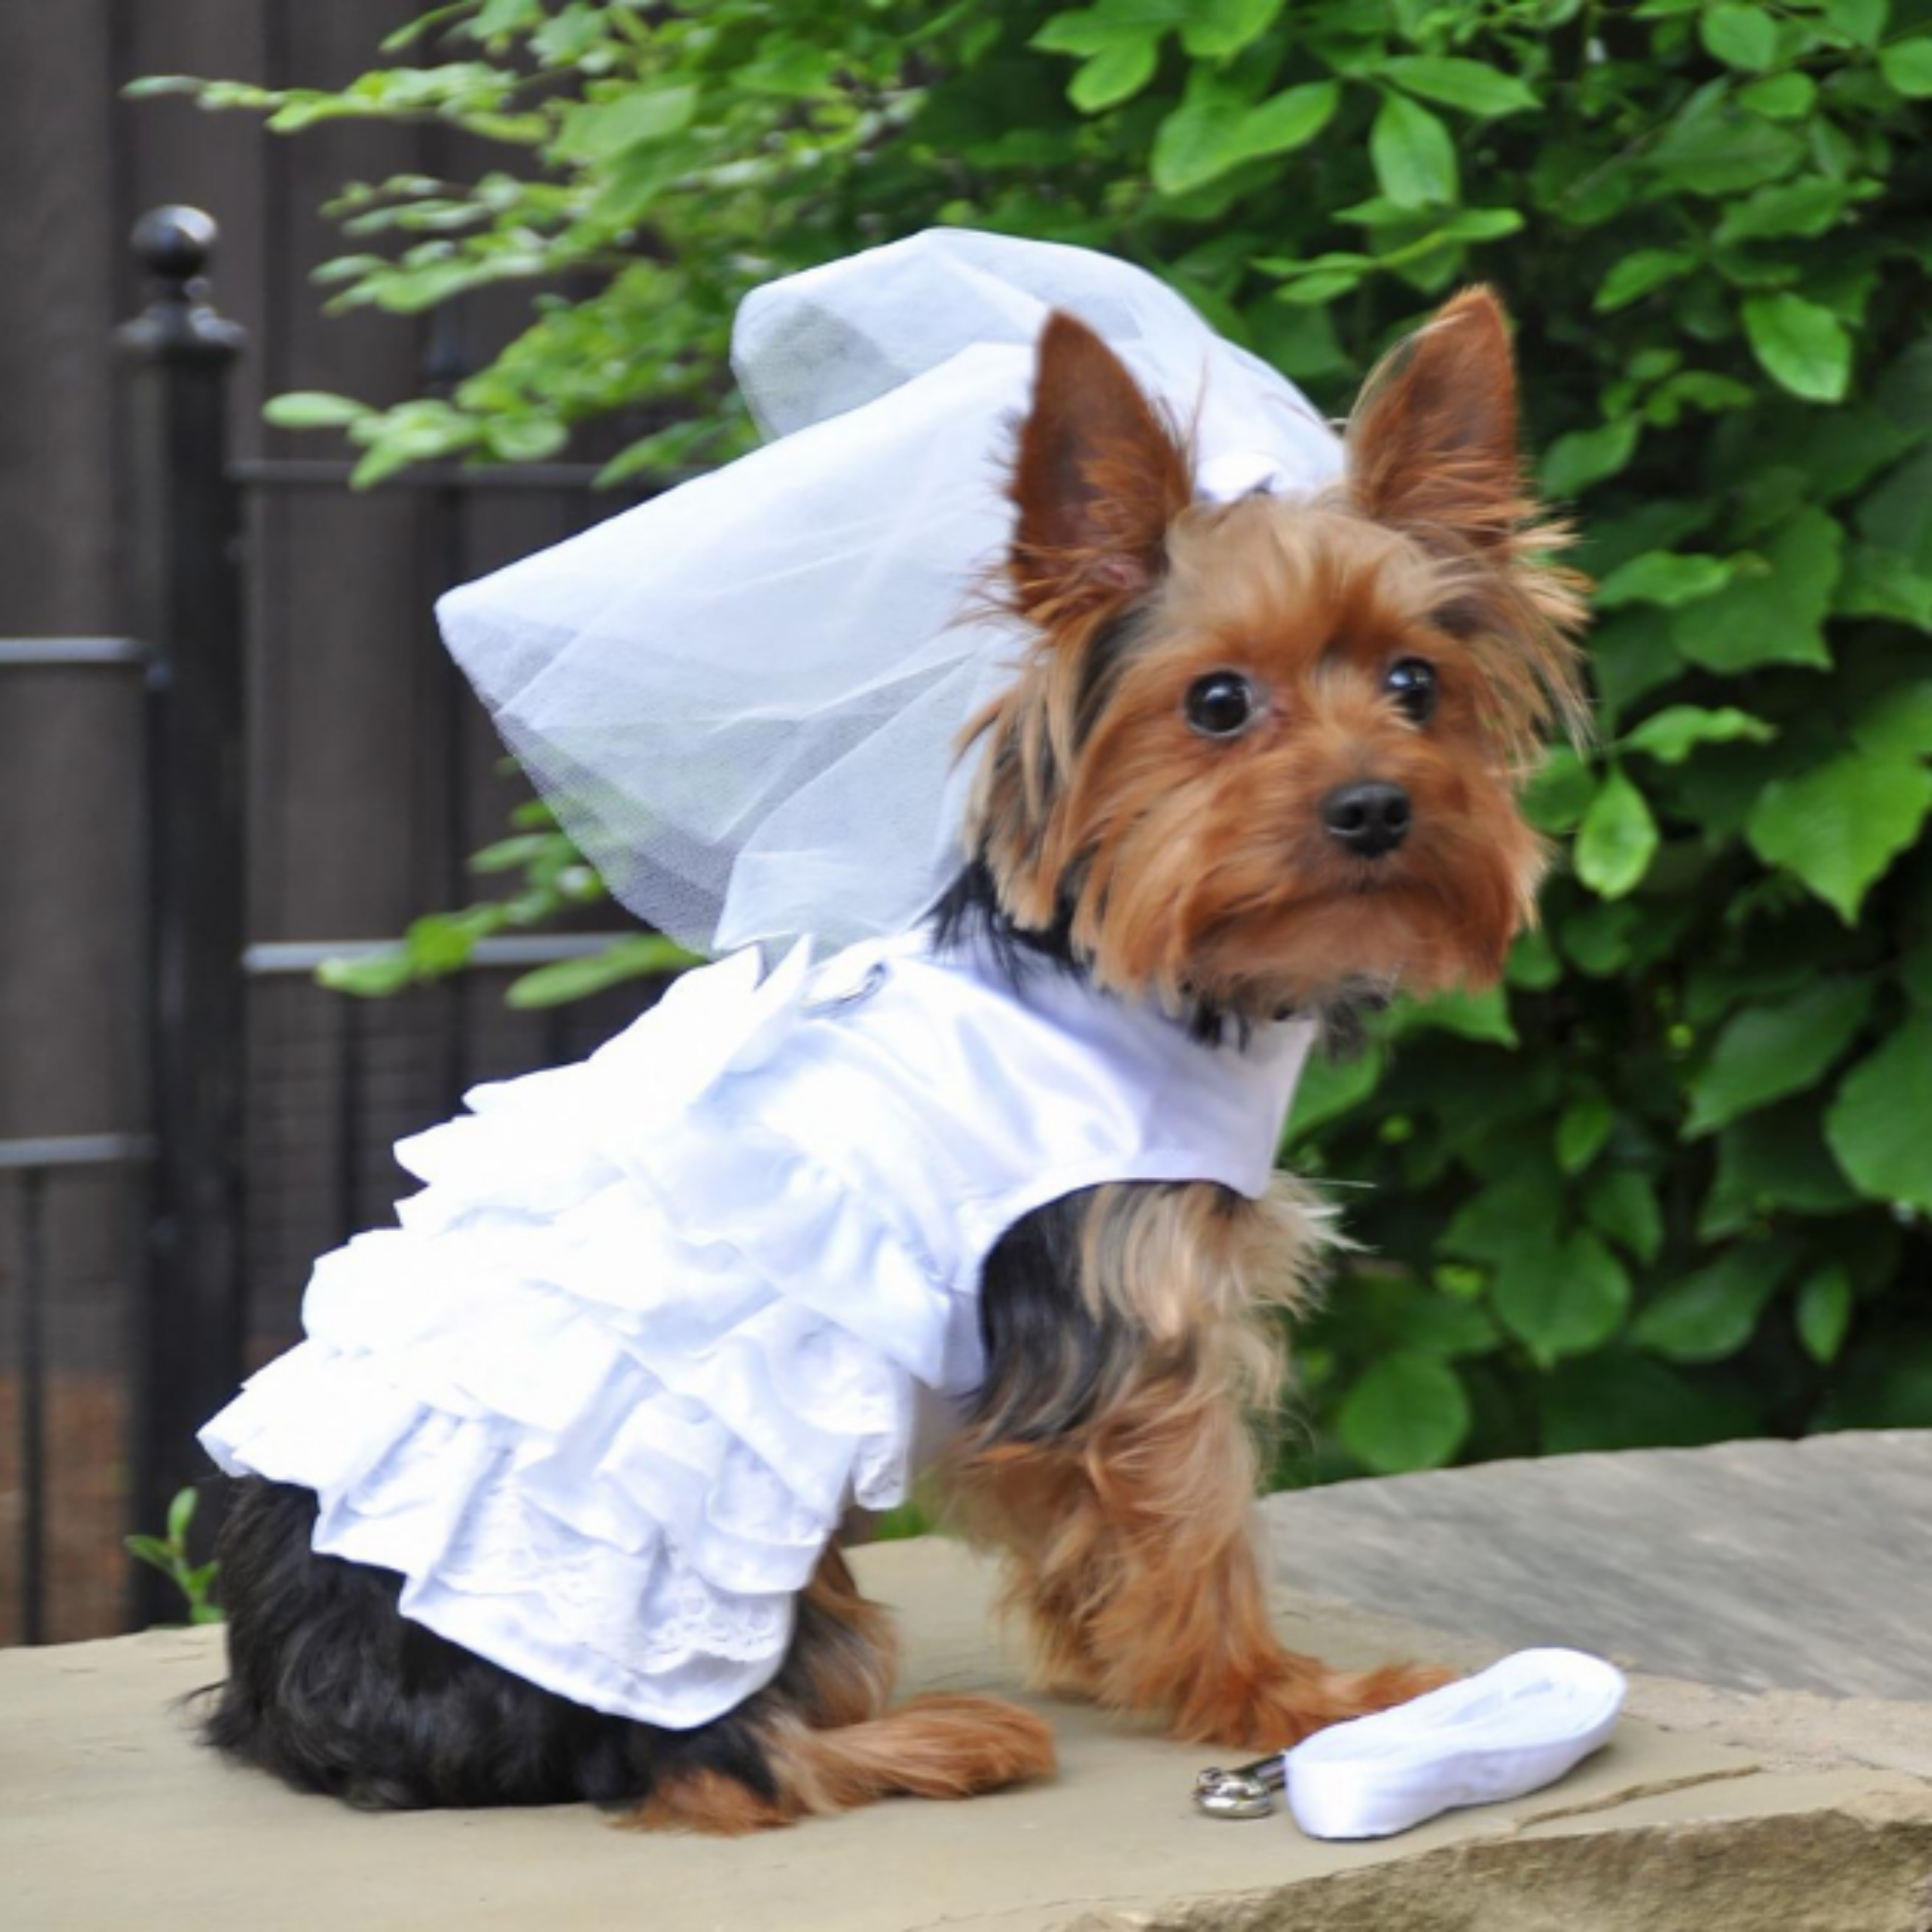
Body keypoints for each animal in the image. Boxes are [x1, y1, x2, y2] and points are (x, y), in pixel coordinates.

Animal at [203, 282, 1584, 1824]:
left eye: (1417, 684)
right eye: (1218, 703)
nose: (1375, 807)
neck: (1130, 977)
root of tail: (301, 1704)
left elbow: (1073, 1523)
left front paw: (1114, 1659)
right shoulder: (1128, 1313)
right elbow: (1194, 1518)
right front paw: (1278, 1698)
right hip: (689, 1562)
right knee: (708, 1757)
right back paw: (941, 1739)